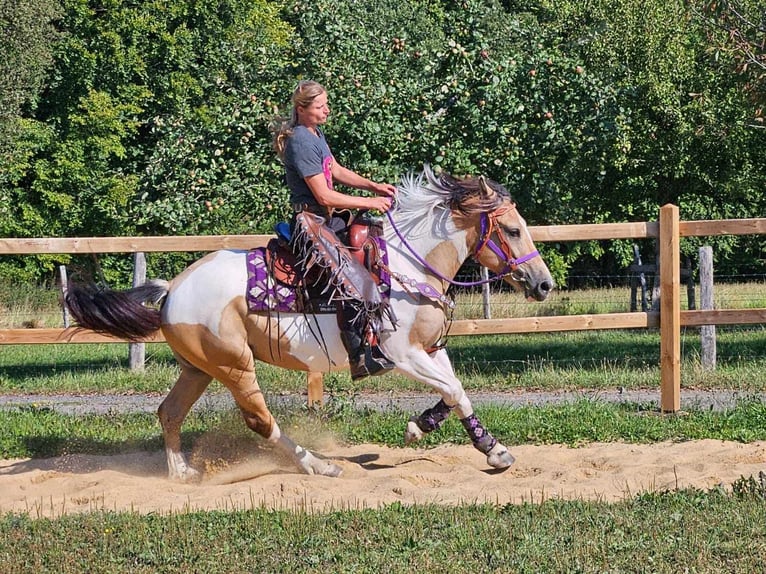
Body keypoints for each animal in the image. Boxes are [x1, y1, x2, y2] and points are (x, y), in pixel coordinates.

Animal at [66, 166, 556, 482]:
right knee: (259, 420)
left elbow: (454, 392)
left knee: (169, 412)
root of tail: (172, 290)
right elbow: (453, 389)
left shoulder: (432, 348)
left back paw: (182, 472)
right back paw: (317, 464)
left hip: (199, 368)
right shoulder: (401, 353)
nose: (544, 283)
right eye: (513, 230)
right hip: (234, 365)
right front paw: (483, 448)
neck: (408, 265)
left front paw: (458, 438)